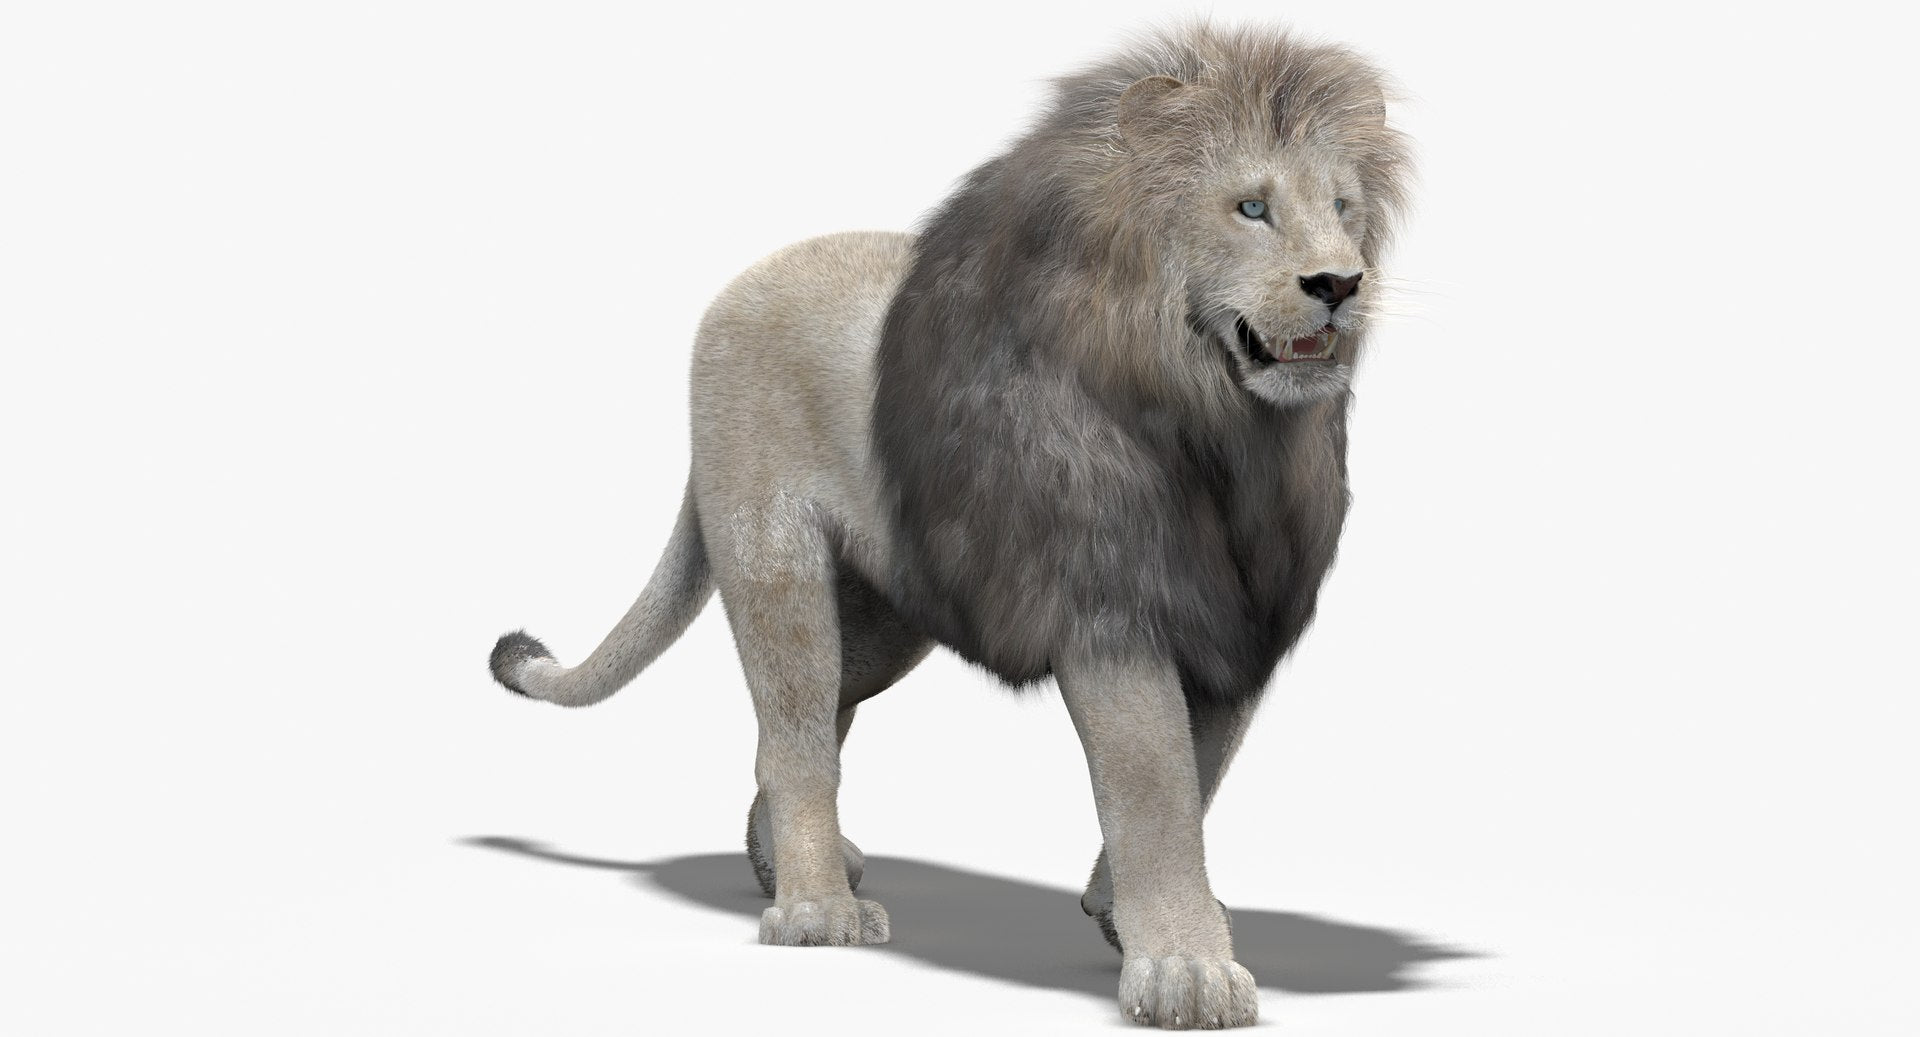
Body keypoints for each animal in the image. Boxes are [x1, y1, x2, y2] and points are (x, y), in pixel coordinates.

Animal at [489, 23, 1412, 1030]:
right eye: (1251, 206)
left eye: (1343, 207)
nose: (1340, 282)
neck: (1219, 427)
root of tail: (737, 287)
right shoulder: (1109, 606)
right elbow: (1156, 790)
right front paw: (1185, 968)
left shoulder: (1236, 618)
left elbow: (1199, 772)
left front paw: (1122, 914)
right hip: (775, 560)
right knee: (795, 733)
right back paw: (814, 909)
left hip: (892, 610)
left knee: (812, 722)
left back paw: (789, 864)